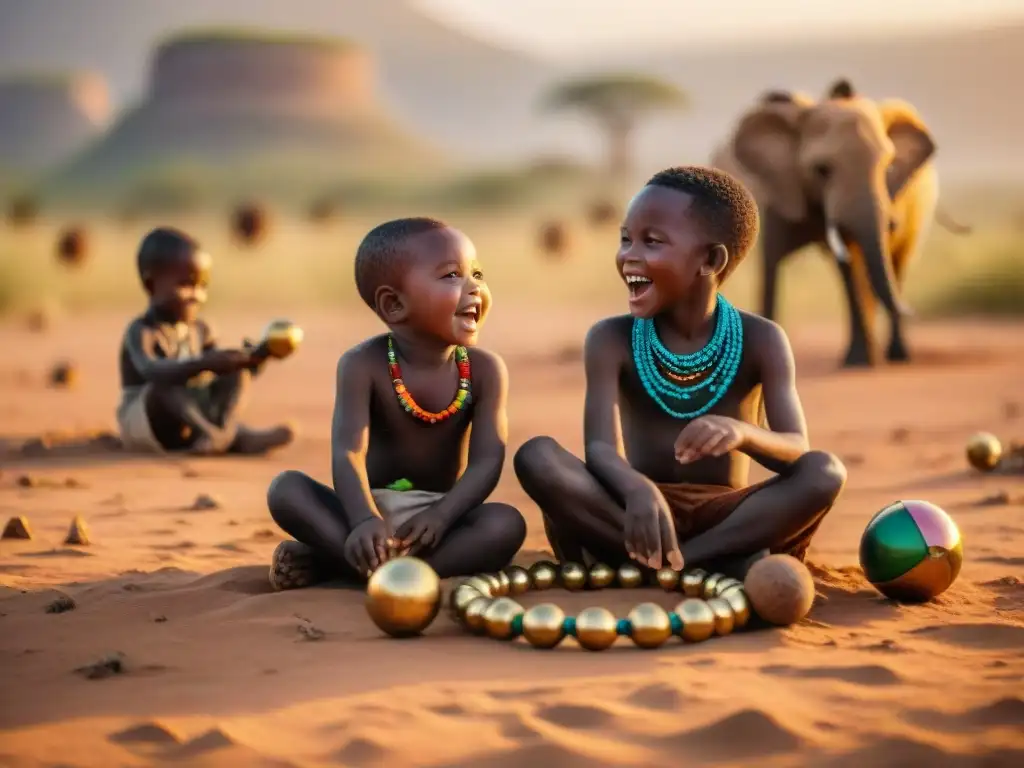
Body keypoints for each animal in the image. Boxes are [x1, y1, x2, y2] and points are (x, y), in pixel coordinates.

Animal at [712, 79, 942, 368]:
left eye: (888, 167)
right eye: (822, 170)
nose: (914, 309)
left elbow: (858, 266)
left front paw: (860, 362)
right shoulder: (777, 188)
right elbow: (777, 266)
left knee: (897, 265)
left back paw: (897, 355)